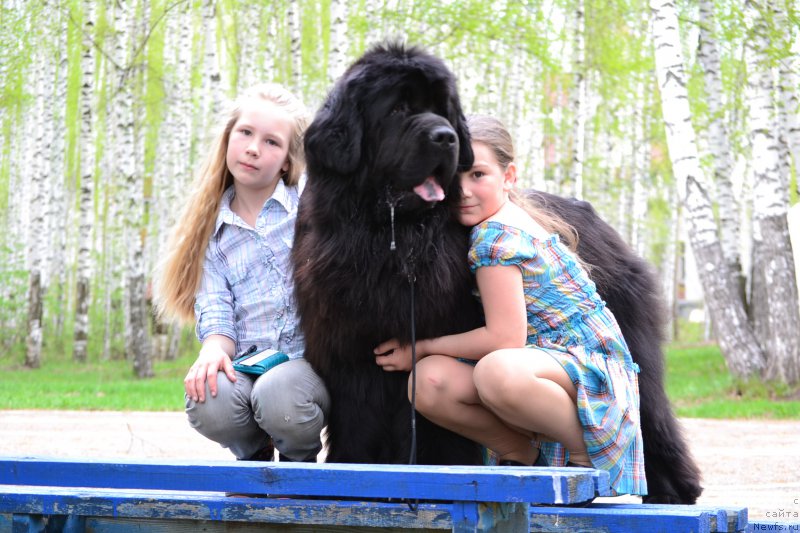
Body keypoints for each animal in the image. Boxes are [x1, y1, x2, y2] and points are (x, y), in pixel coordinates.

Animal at [292, 42, 700, 502]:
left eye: (444, 110)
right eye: (397, 108)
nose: (445, 137)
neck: (394, 242)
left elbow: (437, 438)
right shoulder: (350, 358)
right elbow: (359, 430)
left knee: (652, 424)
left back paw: (672, 496)